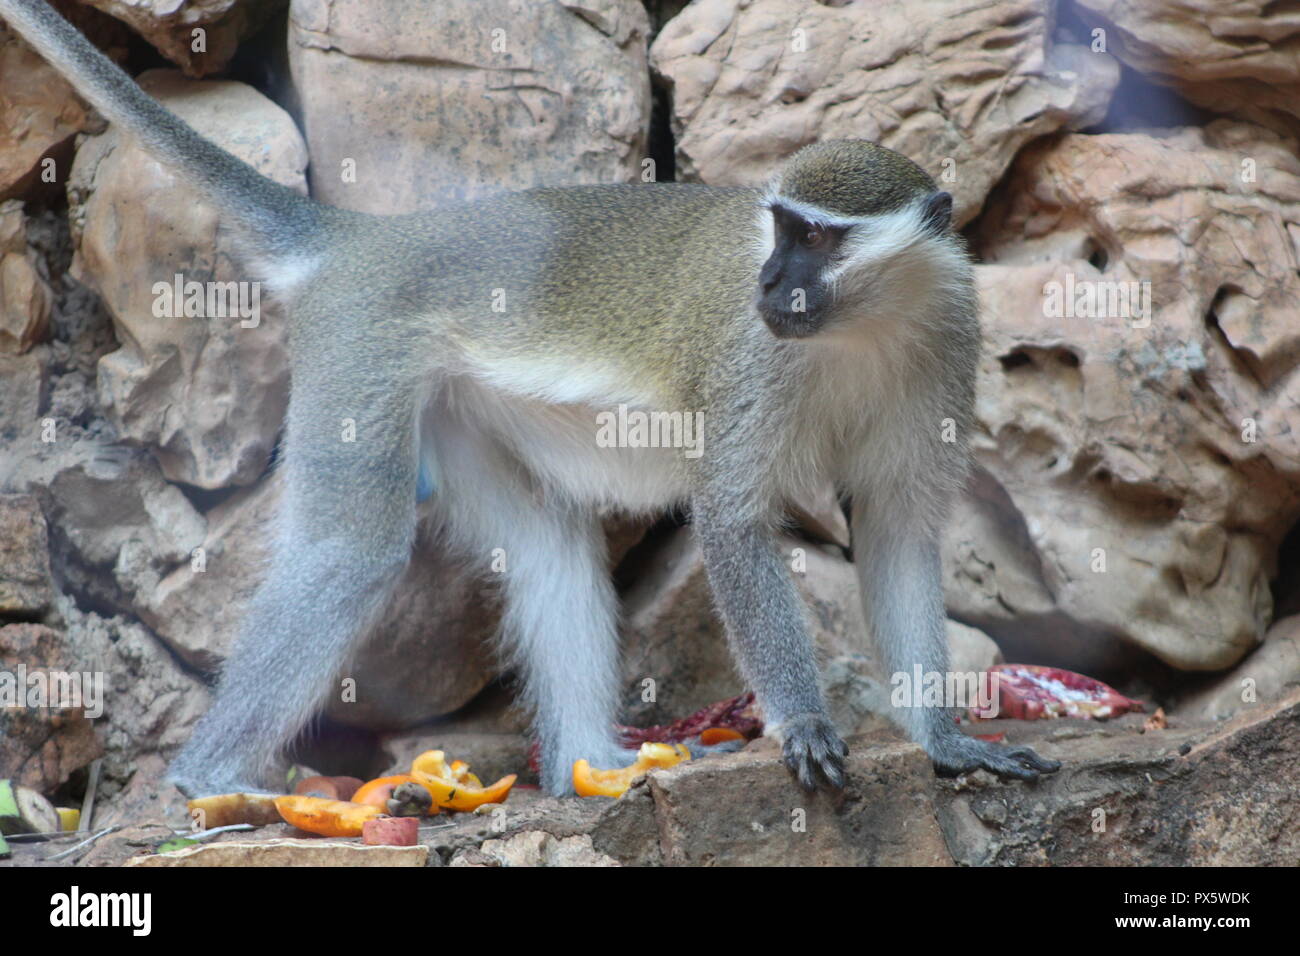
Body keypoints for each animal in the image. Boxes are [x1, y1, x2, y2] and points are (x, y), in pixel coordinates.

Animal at [3, 0, 1059, 797]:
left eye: (819, 240)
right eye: (780, 230)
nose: (767, 285)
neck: (862, 329)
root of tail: (369, 240)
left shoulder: (945, 346)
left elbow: (897, 532)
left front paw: (943, 741)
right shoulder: (750, 365)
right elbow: (731, 523)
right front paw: (802, 722)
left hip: (458, 410)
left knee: (550, 547)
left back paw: (592, 767)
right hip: (363, 354)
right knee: (351, 554)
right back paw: (210, 782)